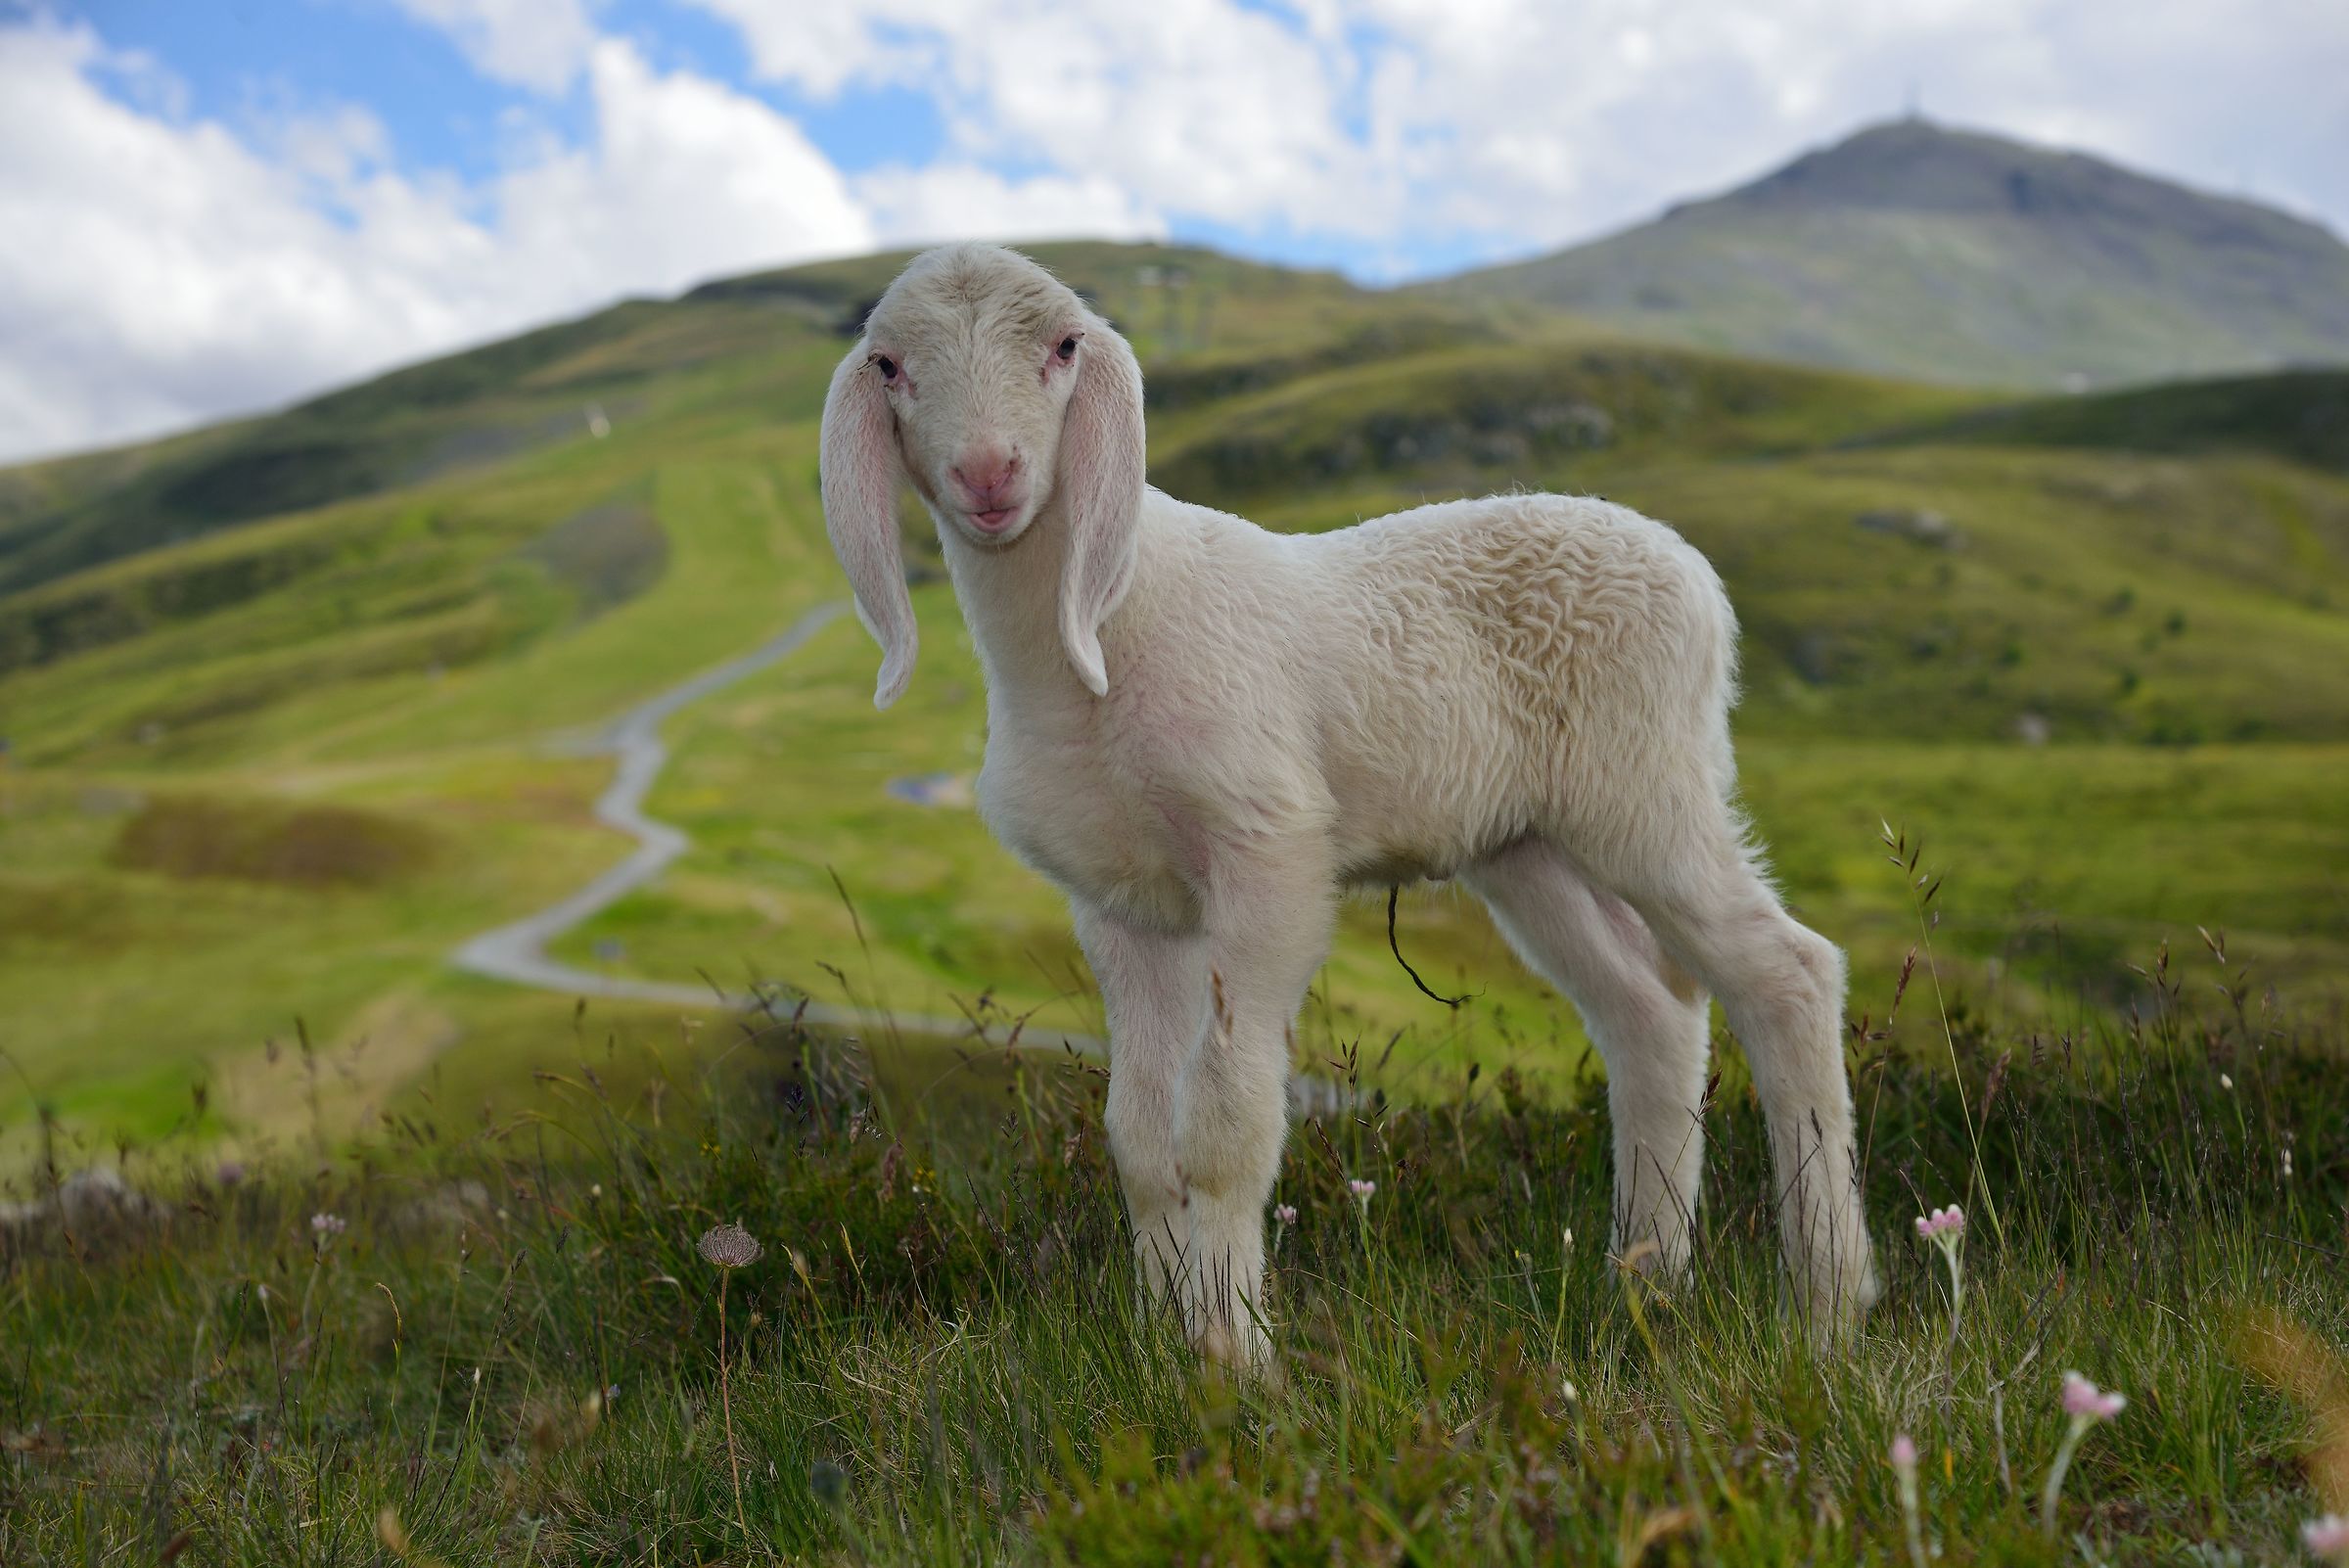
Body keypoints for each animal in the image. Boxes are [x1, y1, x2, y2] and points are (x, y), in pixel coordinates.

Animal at [819, 243, 1879, 1368]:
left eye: (1064, 346)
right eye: (888, 365)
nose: (989, 476)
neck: (1097, 628)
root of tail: (1693, 573)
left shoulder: (1270, 851)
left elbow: (1225, 1125)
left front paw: (1234, 1354)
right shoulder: (1122, 902)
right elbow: (1142, 1140)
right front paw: (1164, 1347)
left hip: (1646, 789)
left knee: (1789, 974)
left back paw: (1827, 1307)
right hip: (1529, 845)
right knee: (1652, 1015)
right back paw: (1643, 1286)